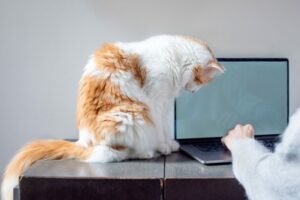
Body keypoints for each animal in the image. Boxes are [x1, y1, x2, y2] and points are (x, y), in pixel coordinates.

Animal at [1, 35, 223, 199]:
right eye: (202, 81)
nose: (194, 92)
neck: (174, 58)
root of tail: (83, 141)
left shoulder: (166, 104)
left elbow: (167, 130)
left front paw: (171, 144)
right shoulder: (157, 102)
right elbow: (161, 131)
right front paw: (165, 147)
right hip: (134, 115)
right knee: (110, 153)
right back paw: (146, 152)